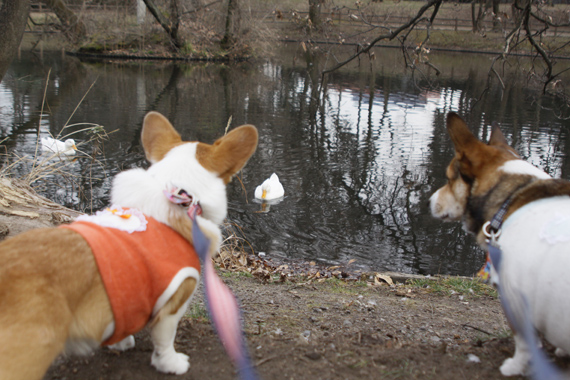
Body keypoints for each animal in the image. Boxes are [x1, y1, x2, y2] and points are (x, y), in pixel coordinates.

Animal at [428, 111, 568, 376]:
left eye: (449, 178)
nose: (429, 201)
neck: (511, 197)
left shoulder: (514, 299)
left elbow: (524, 342)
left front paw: (513, 367)